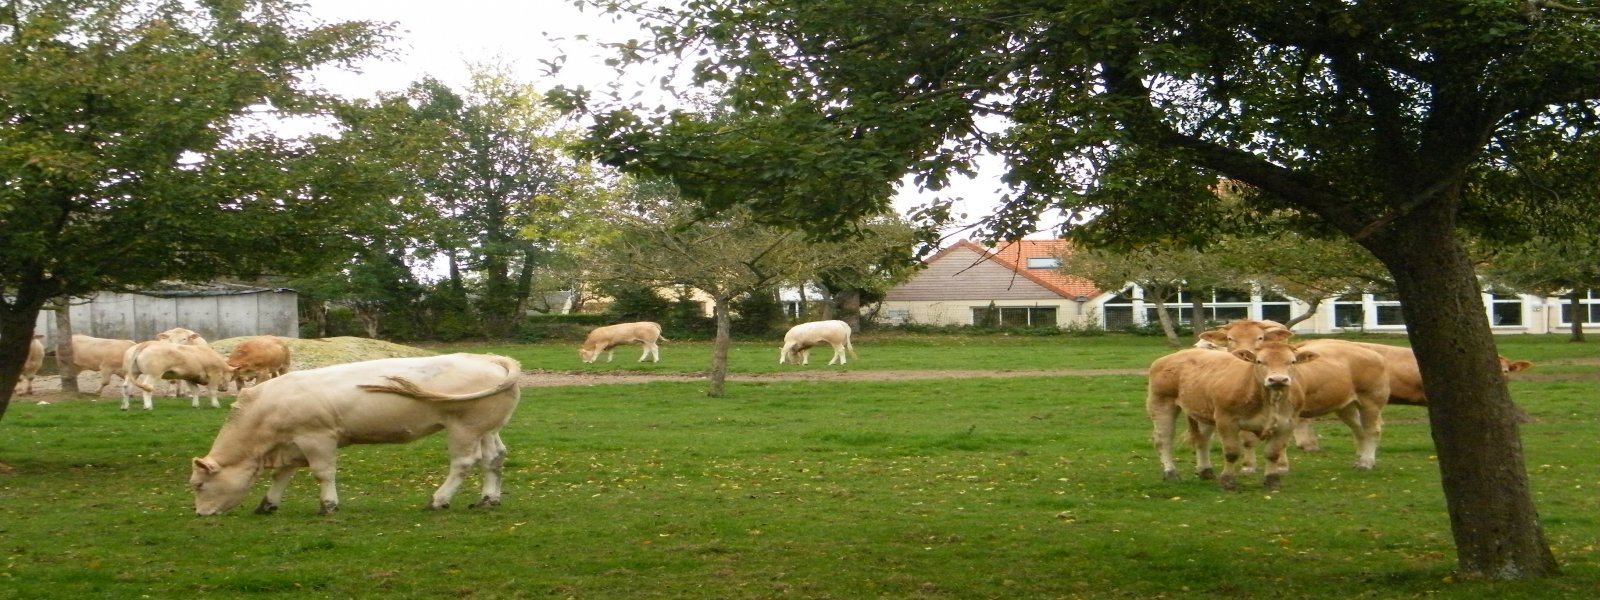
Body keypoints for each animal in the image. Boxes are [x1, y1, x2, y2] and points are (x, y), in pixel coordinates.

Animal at [190, 352, 521, 518]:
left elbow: (323, 473)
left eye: (198, 484)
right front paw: (268, 504)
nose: (200, 513)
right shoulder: (292, 445)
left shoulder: (317, 437)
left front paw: (328, 506)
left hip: (464, 427)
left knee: (464, 462)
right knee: (494, 458)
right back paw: (488, 500)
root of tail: (489, 359)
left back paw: (438, 500)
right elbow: (282, 475)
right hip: (486, 427)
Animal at [1152, 340, 1324, 489]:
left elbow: (1273, 453)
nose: (1278, 379)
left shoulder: (1287, 423)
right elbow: (1232, 453)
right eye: (1259, 361)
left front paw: (1272, 480)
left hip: (1203, 413)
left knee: (1202, 441)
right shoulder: (1226, 420)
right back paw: (1171, 473)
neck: (1268, 402)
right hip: (1161, 403)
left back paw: (1205, 471)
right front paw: (1227, 482)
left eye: (1292, 362)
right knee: (1164, 440)